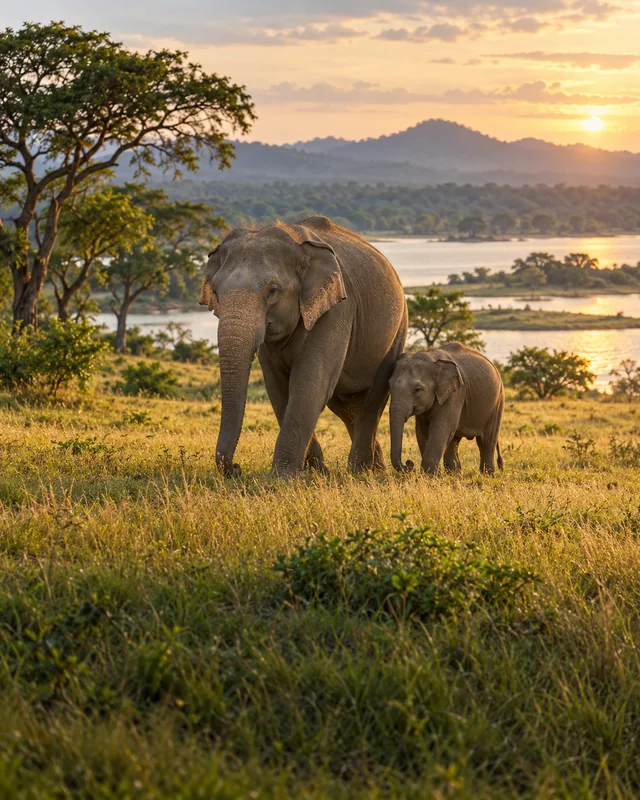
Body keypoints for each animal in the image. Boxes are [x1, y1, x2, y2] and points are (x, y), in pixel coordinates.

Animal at [200, 216, 407, 477]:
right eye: (215, 292)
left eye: (273, 291)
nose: (236, 468)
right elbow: (278, 388)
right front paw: (314, 472)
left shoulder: (336, 310)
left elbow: (310, 383)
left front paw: (283, 477)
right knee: (345, 404)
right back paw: (373, 468)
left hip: (398, 331)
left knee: (373, 398)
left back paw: (360, 471)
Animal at [389, 342, 504, 475]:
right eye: (389, 386)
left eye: (417, 390)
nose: (409, 463)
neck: (431, 357)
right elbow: (422, 431)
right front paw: (434, 476)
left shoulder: (456, 394)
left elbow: (440, 428)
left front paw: (429, 476)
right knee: (454, 441)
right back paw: (455, 475)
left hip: (497, 403)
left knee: (486, 442)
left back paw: (487, 475)